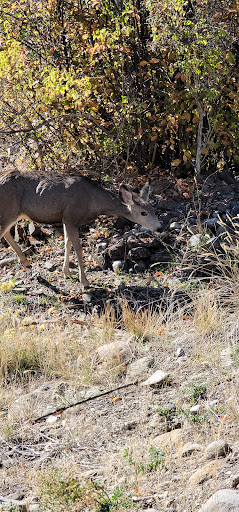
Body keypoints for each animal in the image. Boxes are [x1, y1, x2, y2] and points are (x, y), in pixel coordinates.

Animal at [0, 173, 162, 288]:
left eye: (153, 209)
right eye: (143, 213)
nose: (159, 227)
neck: (94, 202)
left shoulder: (66, 219)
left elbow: (67, 243)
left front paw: (66, 273)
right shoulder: (71, 217)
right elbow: (77, 248)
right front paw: (84, 281)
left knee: (7, 233)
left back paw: (26, 262)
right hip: (8, 210)